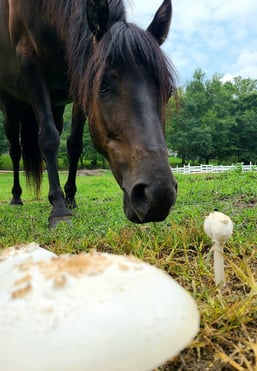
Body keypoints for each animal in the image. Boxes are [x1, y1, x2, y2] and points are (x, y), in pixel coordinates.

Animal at [0, 0, 176, 227]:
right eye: (102, 85)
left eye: (168, 91)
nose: (158, 195)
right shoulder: (29, 63)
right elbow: (48, 138)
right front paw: (59, 210)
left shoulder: (78, 82)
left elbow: (74, 145)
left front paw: (70, 198)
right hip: (11, 110)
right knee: (15, 150)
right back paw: (16, 196)